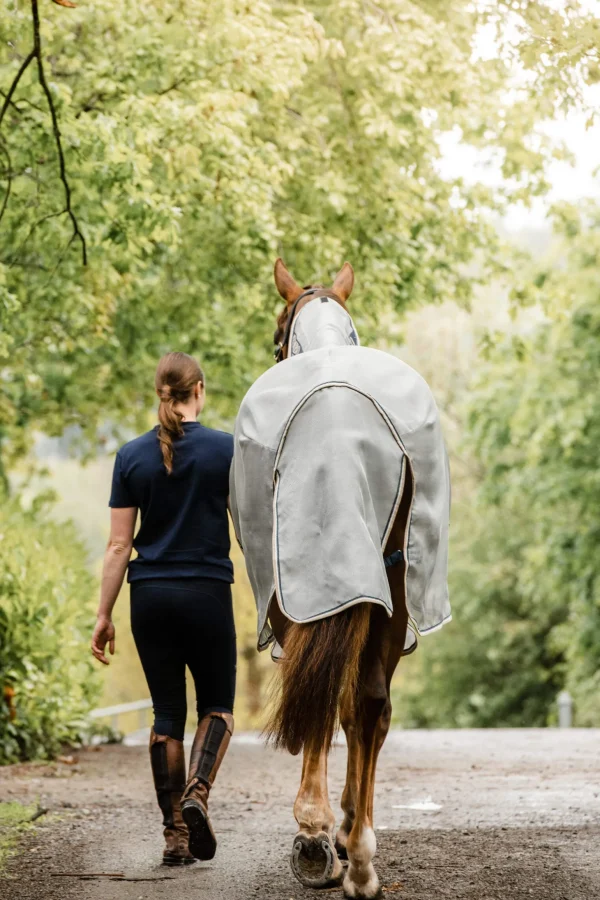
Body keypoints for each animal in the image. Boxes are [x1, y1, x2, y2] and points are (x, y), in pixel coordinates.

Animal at [230, 256, 450, 896]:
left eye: (274, 336)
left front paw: (326, 828)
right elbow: (362, 708)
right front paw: (347, 831)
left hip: (300, 593)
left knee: (335, 697)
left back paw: (320, 836)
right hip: (384, 587)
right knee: (365, 701)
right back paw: (360, 855)